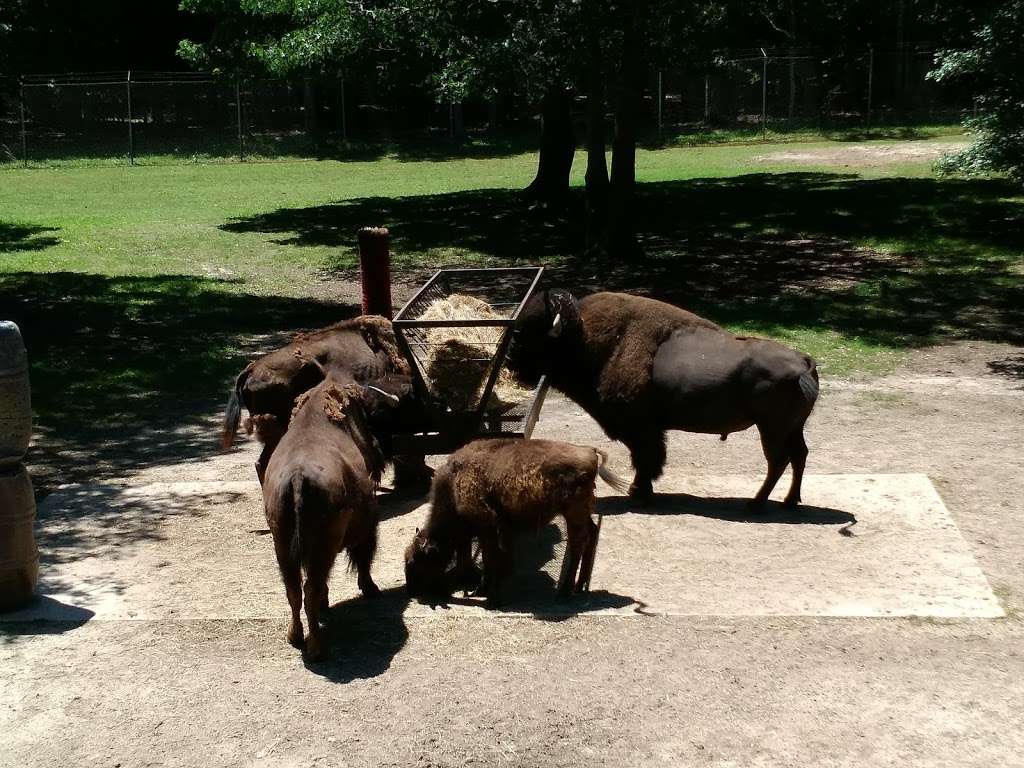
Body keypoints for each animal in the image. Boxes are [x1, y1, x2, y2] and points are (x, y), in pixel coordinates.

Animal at [262, 374, 389, 663]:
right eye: (364, 416)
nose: (377, 449)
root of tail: (297, 476)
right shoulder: (367, 525)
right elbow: (363, 556)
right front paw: (370, 587)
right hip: (323, 545)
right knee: (310, 588)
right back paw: (317, 647)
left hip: (282, 544)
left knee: (295, 589)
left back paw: (296, 636)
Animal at [401, 438, 626, 606]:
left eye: (415, 561)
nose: (411, 591)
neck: (454, 485)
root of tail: (590, 451)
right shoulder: (494, 529)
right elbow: (493, 556)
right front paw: (484, 586)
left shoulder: (488, 525)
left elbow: (491, 557)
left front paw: (490, 595)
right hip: (581, 512)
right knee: (592, 532)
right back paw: (579, 586)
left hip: (573, 513)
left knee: (579, 541)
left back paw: (564, 593)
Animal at [507, 290, 819, 507]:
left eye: (528, 333)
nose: (510, 361)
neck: (586, 338)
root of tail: (803, 361)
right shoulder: (646, 429)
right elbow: (647, 459)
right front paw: (640, 491)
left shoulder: (641, 428)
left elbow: (646, 459)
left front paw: (639, 493)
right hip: (792, 428)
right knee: (799, 456)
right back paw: (789, 502)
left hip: (772, 429)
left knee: (779, 460)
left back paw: (756, 503)